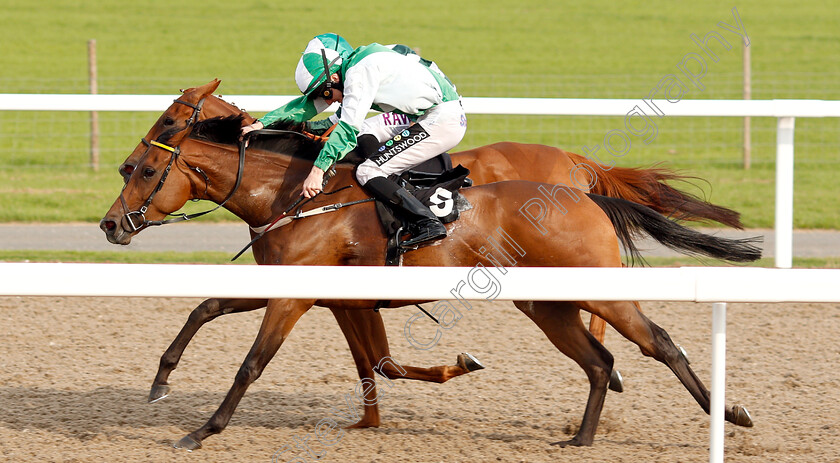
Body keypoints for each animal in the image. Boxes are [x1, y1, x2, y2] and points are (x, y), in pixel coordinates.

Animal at [100, 108, 760, 450]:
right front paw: (161, 380)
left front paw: (203, 431)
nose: (110, 224)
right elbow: (204, 308)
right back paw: (581, 439)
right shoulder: (300, 287)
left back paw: (730, 415)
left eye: (145, 170)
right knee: (599, 361)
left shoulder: (298, 295)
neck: (297, 197)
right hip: (546, 305)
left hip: (596, 289)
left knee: (659, 344)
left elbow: (251, 364)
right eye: (128, 166)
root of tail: (582, 188)